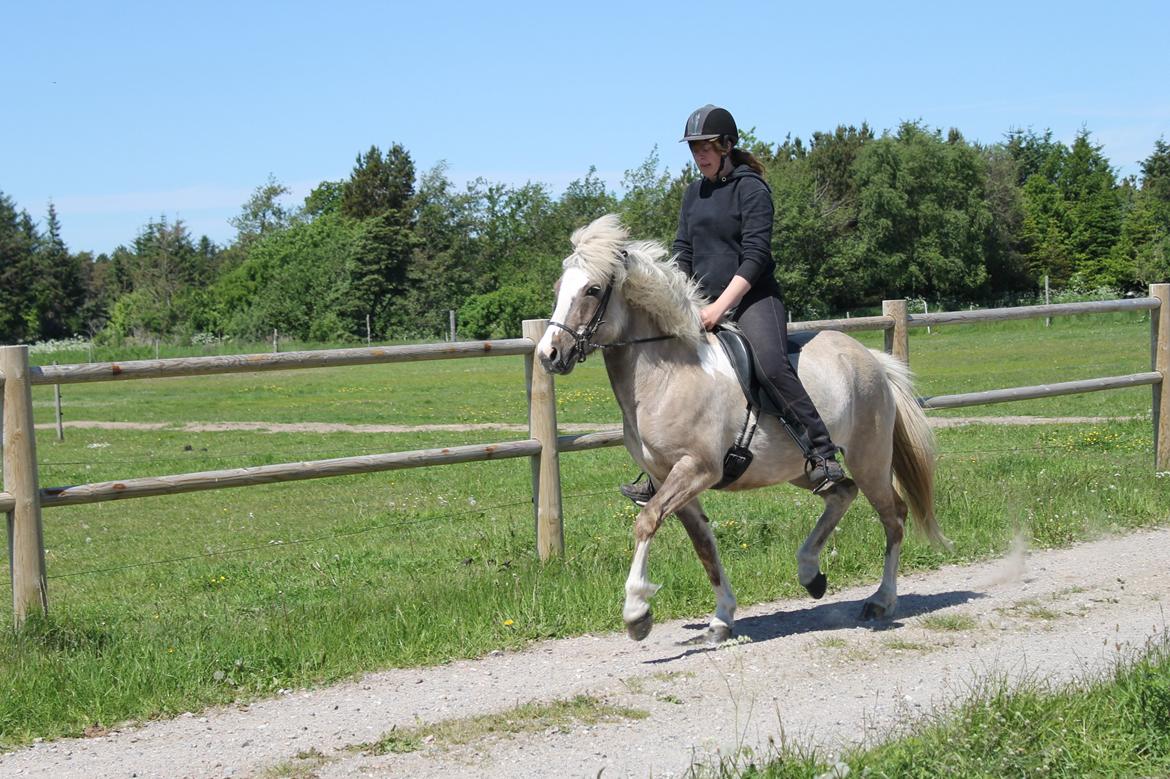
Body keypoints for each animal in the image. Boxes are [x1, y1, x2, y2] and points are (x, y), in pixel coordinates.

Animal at [535, 214, 950, 640]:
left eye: (592, 289)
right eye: (558, 289)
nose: (548, 355)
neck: (668, 375)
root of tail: (870, 358)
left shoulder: (696, 469)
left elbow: (647, 521)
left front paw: (637, 612)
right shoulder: (668, 478)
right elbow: (702, 544)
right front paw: (721, 619)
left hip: (870, 460)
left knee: (893, 516)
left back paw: (880, 600)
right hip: (798, 469)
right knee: (841, 493)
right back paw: (810, 574)